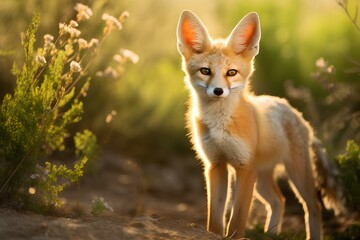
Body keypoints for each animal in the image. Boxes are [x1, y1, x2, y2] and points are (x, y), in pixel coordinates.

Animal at [177, 9, 346, 240]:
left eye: (231, 72)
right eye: (205, 71)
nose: (218, 91)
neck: (220, 125)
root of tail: (296, 113)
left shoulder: (245, 167)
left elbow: (237, 219)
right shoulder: (216, 165)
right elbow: (215, 219)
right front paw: (214, 232)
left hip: (296, 175)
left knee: (313, 206)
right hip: (262, 179)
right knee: (279, 200)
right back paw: (271, 234)